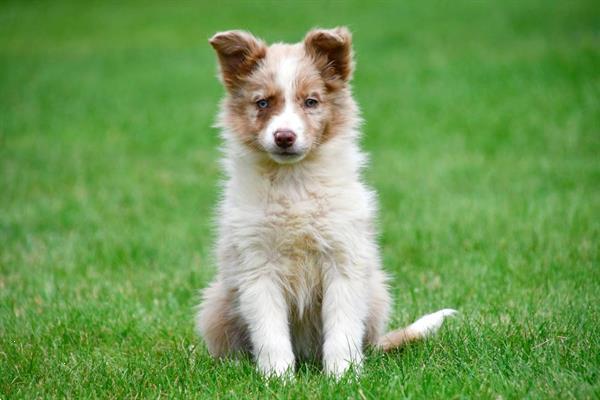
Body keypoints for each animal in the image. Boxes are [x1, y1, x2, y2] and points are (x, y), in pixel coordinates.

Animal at [197, 26, 454, 376]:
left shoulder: (343, 259)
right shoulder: (257, 266)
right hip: (216, 304)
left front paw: (342, 376)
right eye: (262, 102)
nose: (284, 137)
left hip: (376, 293)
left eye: (311, 101)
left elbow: (342, 328)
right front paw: (278, 378)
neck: (294, 181)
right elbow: (270, 332)